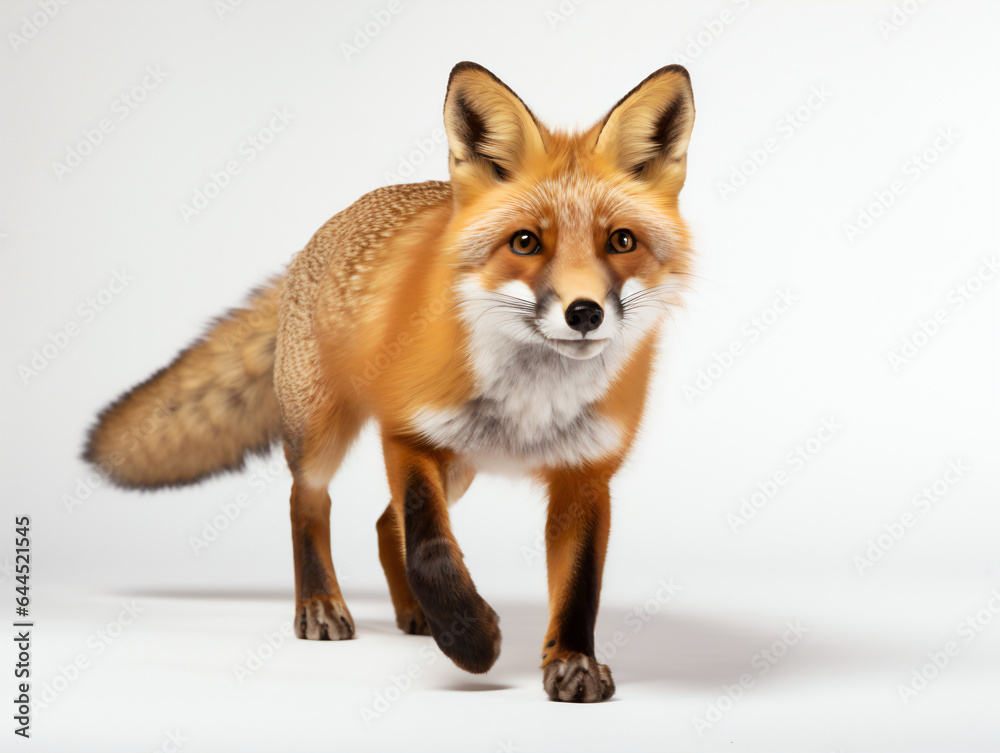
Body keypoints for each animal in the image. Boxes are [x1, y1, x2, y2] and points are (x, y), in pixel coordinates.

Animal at [83, 61, 695, 702]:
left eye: (621, 241)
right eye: (525, 242)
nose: (584, 313)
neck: (532, 398)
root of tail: (321, 234)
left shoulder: (586, 471)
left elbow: (578, 586)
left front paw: (572, 662)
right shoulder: (408, 436)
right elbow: (428, 545)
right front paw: (471, 640)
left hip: (462, 464)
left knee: (382, 522)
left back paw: (417, 615)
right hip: (323, 434)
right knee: (309, 502)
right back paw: (321, 603)